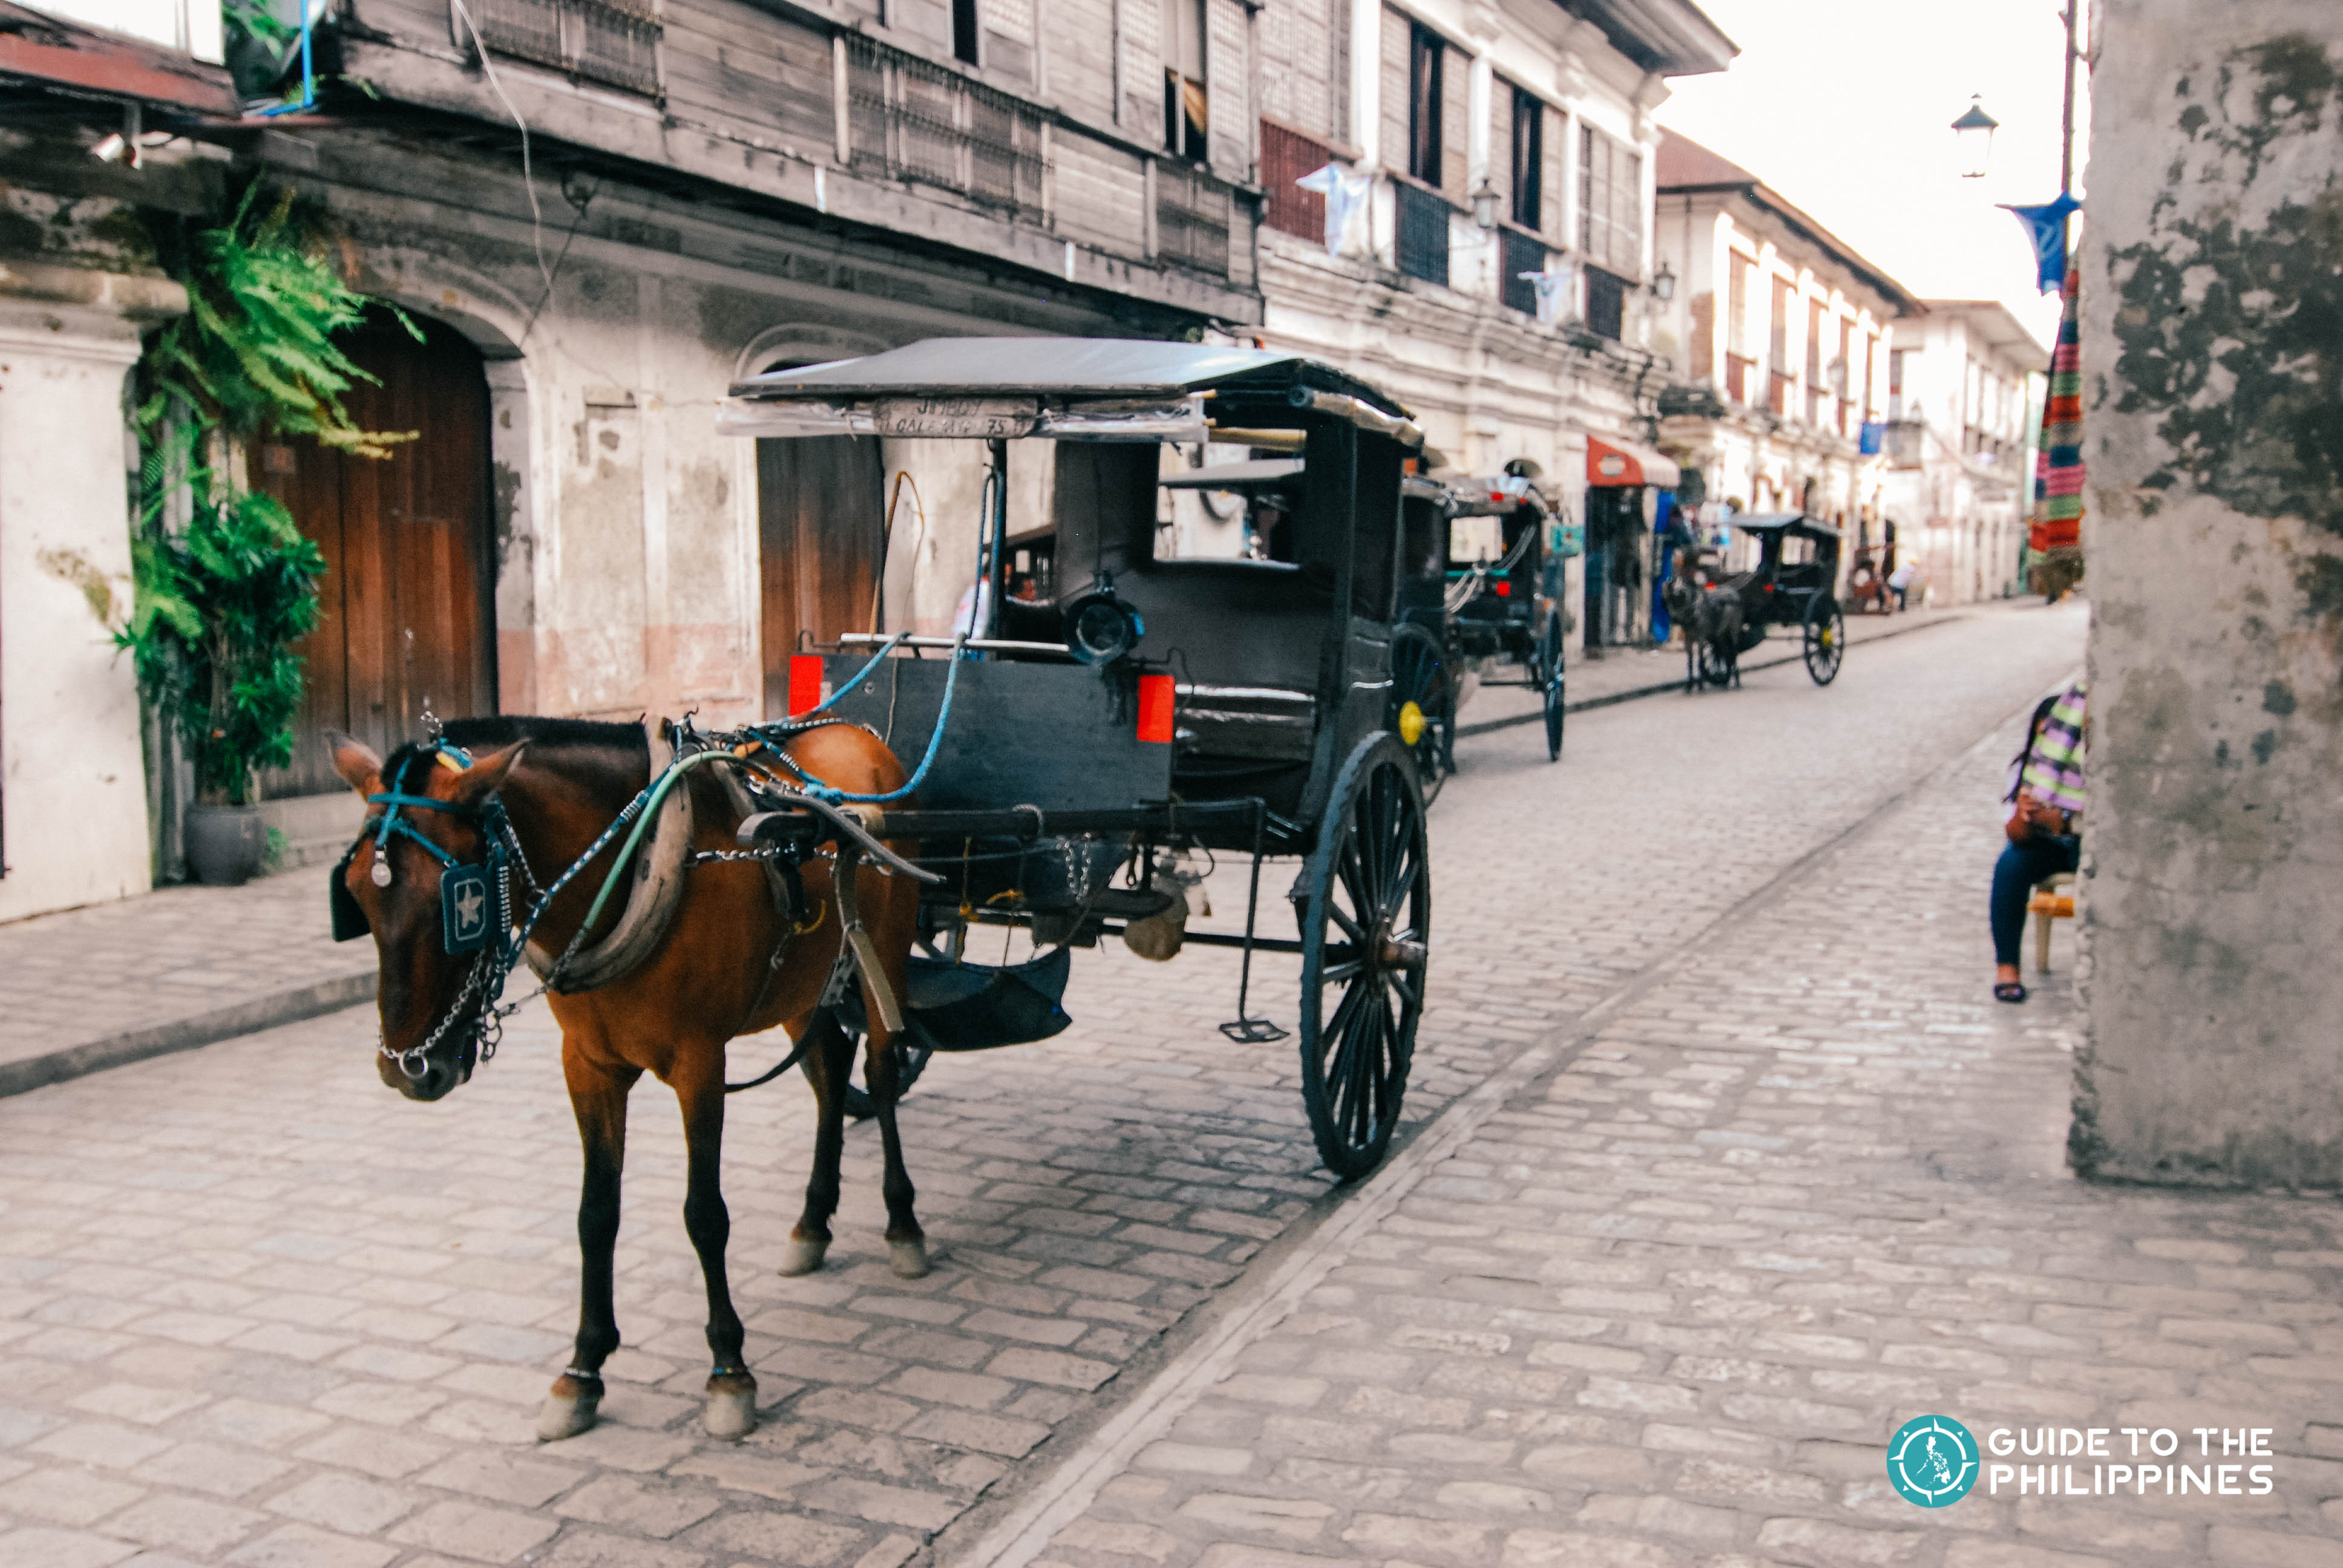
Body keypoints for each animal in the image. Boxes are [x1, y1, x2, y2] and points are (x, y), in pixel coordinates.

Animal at [324, 715, 921, 1445]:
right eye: (355, 892)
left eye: (460, 898)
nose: (408, 1068)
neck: (636, 865)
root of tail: (859, 733)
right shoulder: (588, 1066)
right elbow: (595, 1215)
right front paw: (583, 1369)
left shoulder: (700, 1063)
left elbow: (704, 1215)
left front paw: (729, 1370)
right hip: (803, 983)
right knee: (830, 1071)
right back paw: (812, 1223)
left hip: (885, 952)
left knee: (880, 1074)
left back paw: (903, 1224)